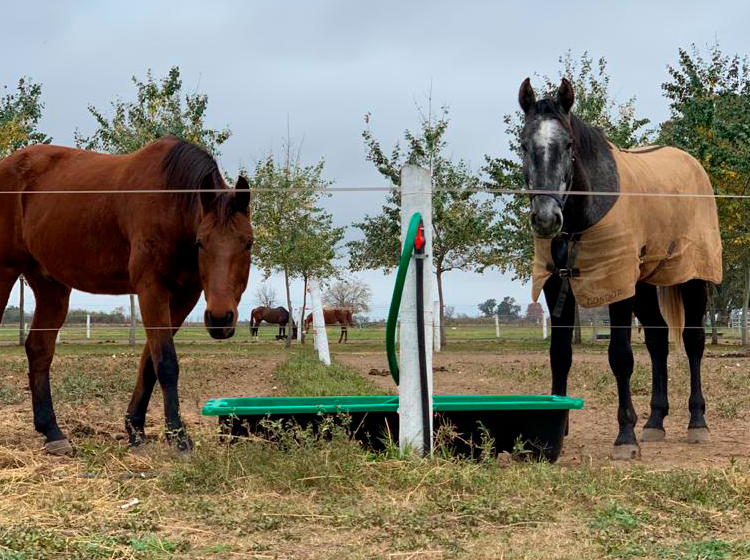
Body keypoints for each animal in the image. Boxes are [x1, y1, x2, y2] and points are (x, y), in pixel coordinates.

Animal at [0, 136, 254, 456]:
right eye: (201, 243)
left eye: (248, 243)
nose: (220, 319)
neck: (170, 202)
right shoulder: (151, 289)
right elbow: (166, 362)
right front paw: (179, 436)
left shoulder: (184, 297)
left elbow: (149, 363)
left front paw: (136, 429)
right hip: (5, 271)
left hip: (50, 285)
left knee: (39, 350)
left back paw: (52, 432)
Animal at [520, 80, 724, 464]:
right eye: (524, 144)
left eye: (568, 145)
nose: (546, 219)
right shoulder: (557, 285)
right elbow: (560, 355)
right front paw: (558, 427)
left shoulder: (616, 286)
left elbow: (620, 357)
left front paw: (625, 436)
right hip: (642, 285)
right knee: (658, 339)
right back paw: (655, 422)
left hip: (693, 279)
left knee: (693, 341)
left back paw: (697, 423)